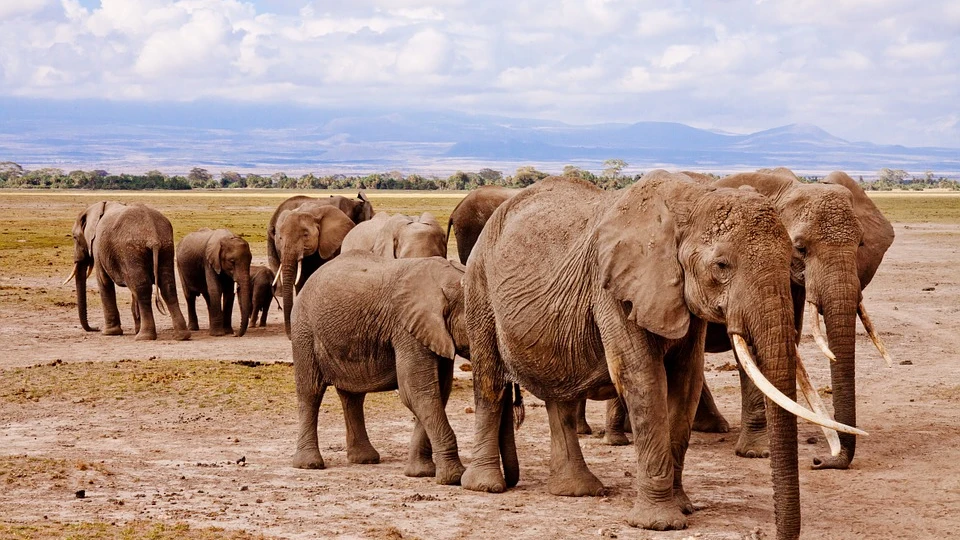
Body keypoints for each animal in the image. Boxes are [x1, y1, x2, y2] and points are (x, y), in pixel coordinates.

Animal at [66, 200, 191, 340]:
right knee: (167, 286)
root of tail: (152, 234)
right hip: (166, 246)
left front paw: (109, 333)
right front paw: (135, 329)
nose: (95, 328)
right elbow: (133, 288)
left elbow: (104, 281)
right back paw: (182, 336)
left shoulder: (98, 247)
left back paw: (144, 337)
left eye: (75, 237)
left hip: (131, 249)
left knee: (143, 288)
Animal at [274, 204, 356, 336]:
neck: (312, 213)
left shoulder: (328, 246)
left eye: (305, 235)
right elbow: (300, 281)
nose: (289, 335)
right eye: (280, 238)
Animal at [292, 253, 472, 486]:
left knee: (353, 397)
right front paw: (454, 478)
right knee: (310, 392)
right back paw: (309, 464)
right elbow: (417, 392)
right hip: (304, 330)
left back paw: (365, 459)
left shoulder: (434, 333)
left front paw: (420, 473)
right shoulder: (407, 330)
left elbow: (437, 392)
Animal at [458, 170, 864, 540]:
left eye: (791, 256)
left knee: (560, 395)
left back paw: (576, 491)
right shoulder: (614, 288)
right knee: (490, 381)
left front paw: (683, 506)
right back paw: (485, 485)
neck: (691, 202)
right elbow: (642, 378)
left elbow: (685, 381)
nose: (818, 460)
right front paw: (660, 523)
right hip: (479, 285)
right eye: (721, 266)